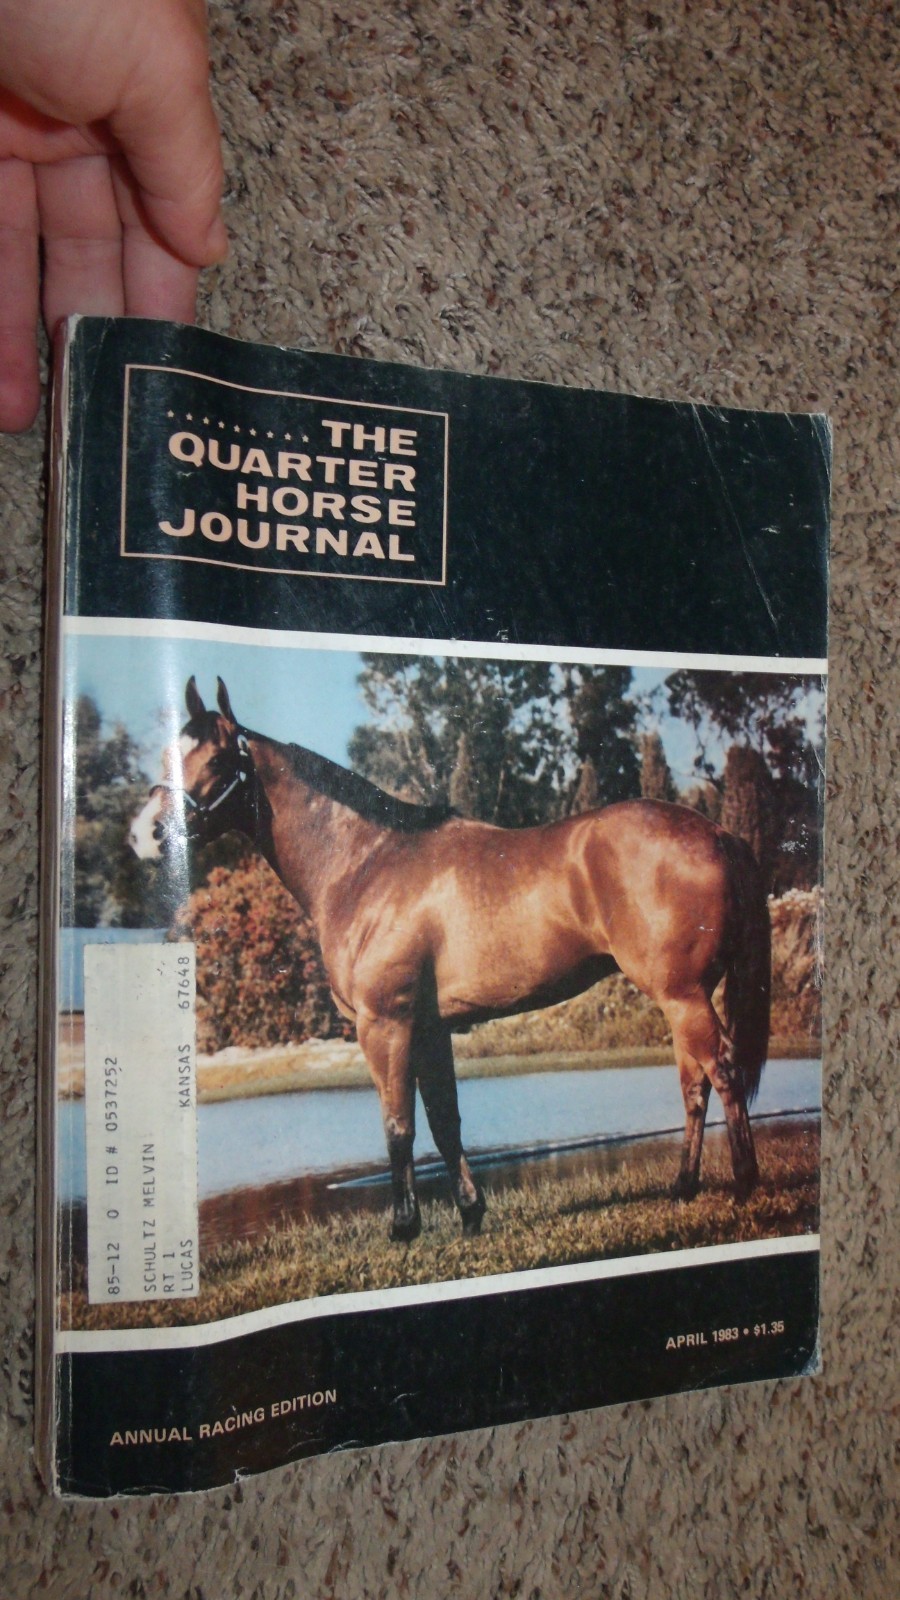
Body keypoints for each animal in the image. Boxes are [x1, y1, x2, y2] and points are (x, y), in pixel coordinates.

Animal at [130, 676, 771, 1242]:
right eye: (169, 754)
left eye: (216, 759)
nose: (145, 835)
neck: (365, 865)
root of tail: (718, 833)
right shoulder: (430, 1027)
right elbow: (444, 1121)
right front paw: (469, 1213)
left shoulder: (384, 1024)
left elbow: (398, 1124)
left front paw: (403, 1226)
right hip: (684, 997)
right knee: (694, 1082)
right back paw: (684, 1186)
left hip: (683, 995)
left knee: (723, 1071)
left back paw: (744, 1185)